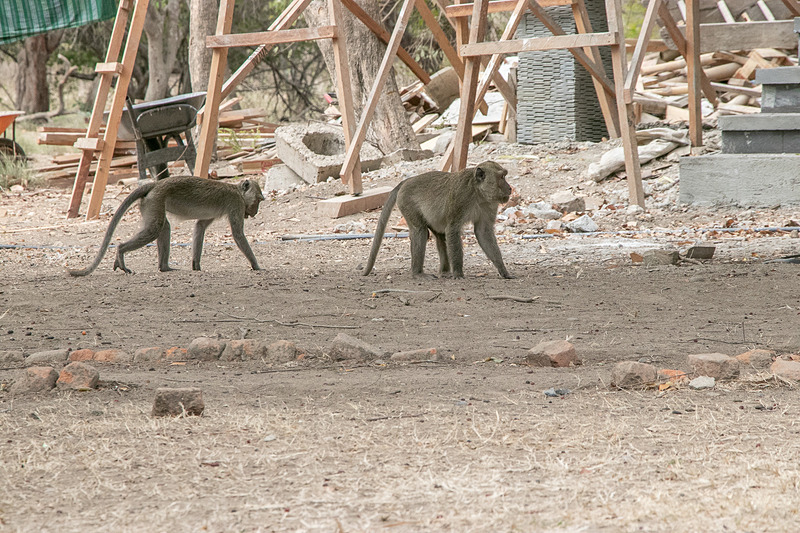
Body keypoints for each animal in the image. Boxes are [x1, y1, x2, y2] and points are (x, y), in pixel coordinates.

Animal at [68, 176, 264, 276]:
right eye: (259, 200)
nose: (255, 212)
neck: (237, 190)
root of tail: (156, 184)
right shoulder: (236, 203)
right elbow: (237, 234)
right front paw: (256, 265)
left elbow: (200, 226)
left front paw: (196, 265)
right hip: (155, 200)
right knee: (155, 228)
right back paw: (121, 250)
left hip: (150, 203)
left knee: (164, 227)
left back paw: (164, 267)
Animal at [362, 161, 513, 279]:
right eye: (502, 177)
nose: (510, 188)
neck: (478, 193)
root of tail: (408, 180)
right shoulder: (461, 198)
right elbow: (452, 229)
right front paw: (458, 273)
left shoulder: (490, 204)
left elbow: (483, 231)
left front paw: (503, 270)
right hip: (407, 202)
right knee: (420, 231)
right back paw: (418, 273)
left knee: (440, 235)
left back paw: (445, 271)